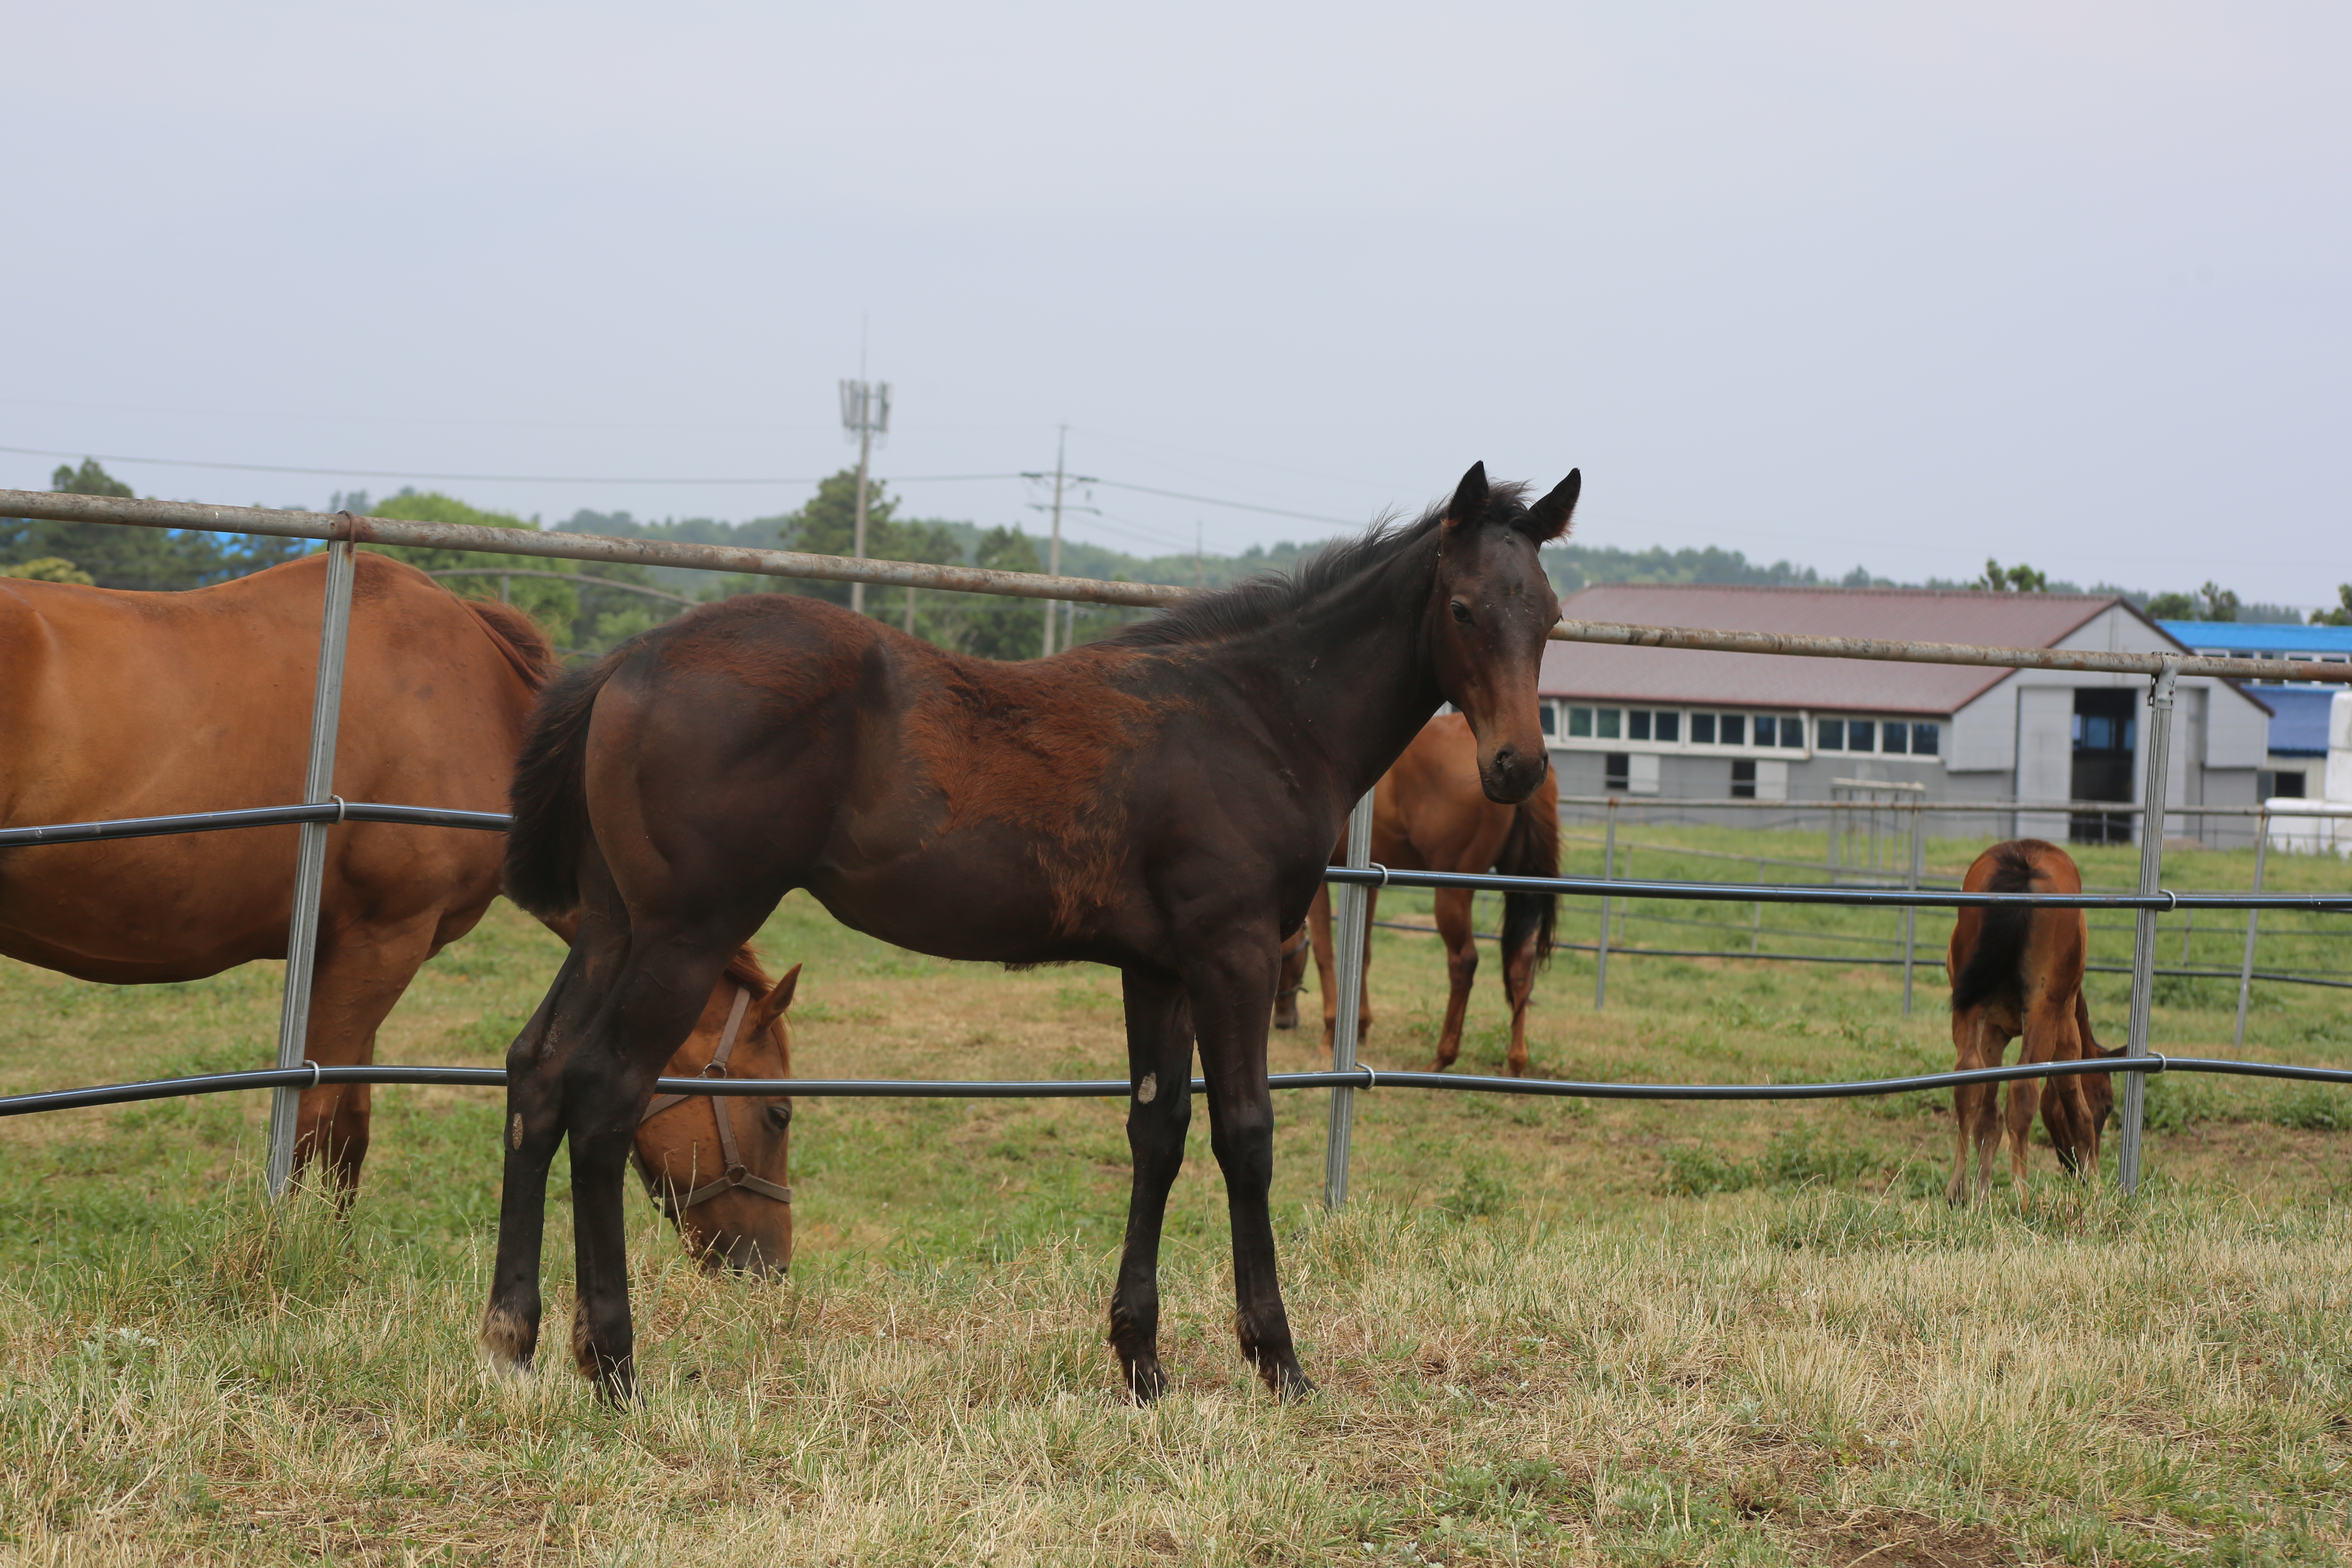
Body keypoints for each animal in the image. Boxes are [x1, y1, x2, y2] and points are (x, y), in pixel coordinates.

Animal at [0, 557, 800, 1269]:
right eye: (778, 1112)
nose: (765, 1266)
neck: (470, 703)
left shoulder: (352, 951)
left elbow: (349, 1123)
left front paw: (335, 1255)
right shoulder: (386, 942)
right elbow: (314, 1118)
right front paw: (286, 1253)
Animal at [1279, 715, 1552, 1072]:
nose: (1283, 1022)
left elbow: (1327, 952)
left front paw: (1330, 1034)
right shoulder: (1367, 876)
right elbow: (1362, 952)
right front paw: (1360, 1027)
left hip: (1452, 890)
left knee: (1464, 962)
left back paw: (1443, 1056)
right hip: (1517, 884)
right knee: (1521, 963)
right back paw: (1517, 1060)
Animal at [1938, 842, 2126, 1213]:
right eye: (2108, 1104)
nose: (2076, 1175)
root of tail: (2023, 861)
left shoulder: (1993, 1032)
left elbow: (1988, 1115)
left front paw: (1980, 1194)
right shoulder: (2066, 1034)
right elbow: (2078, 1112)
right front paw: (2098, 1189)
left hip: (1969, 1010)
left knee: (1966, 1077)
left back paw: (1957, 1189)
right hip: (2043, 1013)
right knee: (2023, 1090)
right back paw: (2022, 1195)